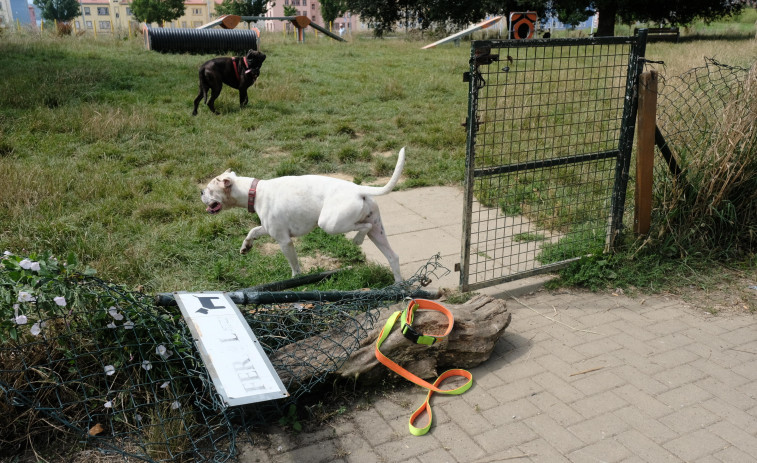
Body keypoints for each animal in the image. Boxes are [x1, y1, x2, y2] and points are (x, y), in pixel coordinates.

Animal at [199, 148, 402, 282]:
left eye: (209, 189)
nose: (200, 192)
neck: (254, 191)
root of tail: (359, 189)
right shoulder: (269, 229)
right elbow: (253, 231)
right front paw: (246, 246)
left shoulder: (284, 241)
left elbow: (294, 266)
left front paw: (295, 281)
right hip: (377, 232)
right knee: (393, 256)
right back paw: (398, 286)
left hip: (330, 224)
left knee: (363, 227)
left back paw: (357, 240)